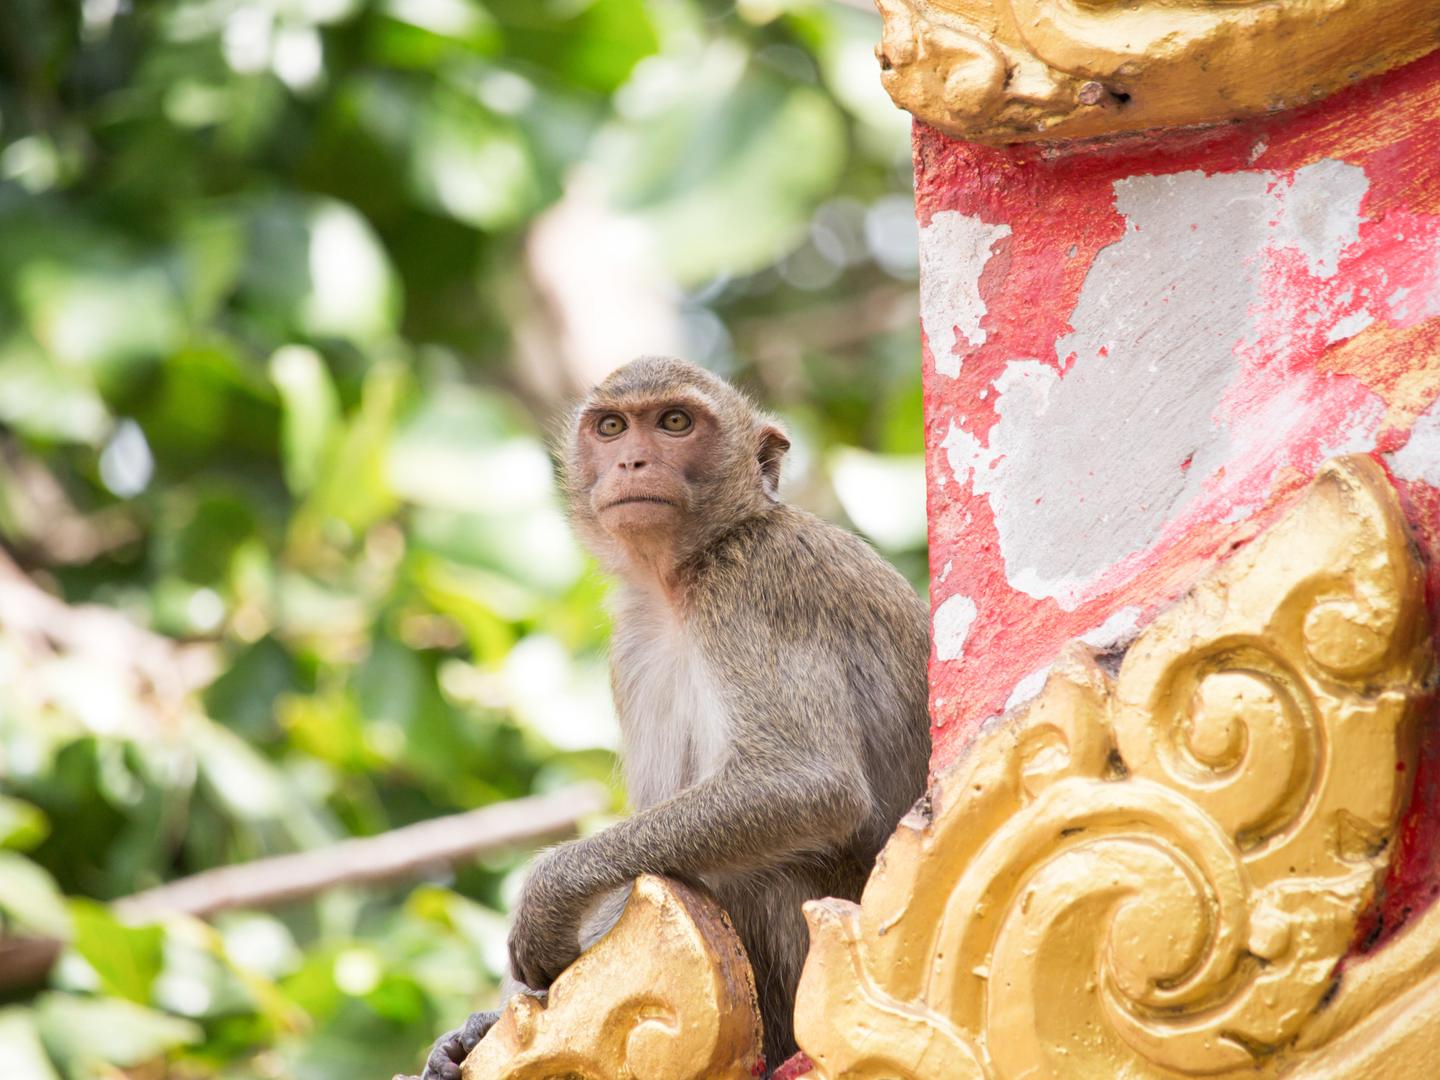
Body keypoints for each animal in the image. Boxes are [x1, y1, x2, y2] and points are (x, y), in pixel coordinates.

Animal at [420, 356, 931, 1079]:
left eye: (675, 422)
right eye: (611, 427)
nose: (632, 461)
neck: (682, 577)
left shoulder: (752, 584)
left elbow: (808, 784)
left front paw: (548, 895)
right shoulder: (634, 644)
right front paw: (485, 1025)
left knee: (757, 868)